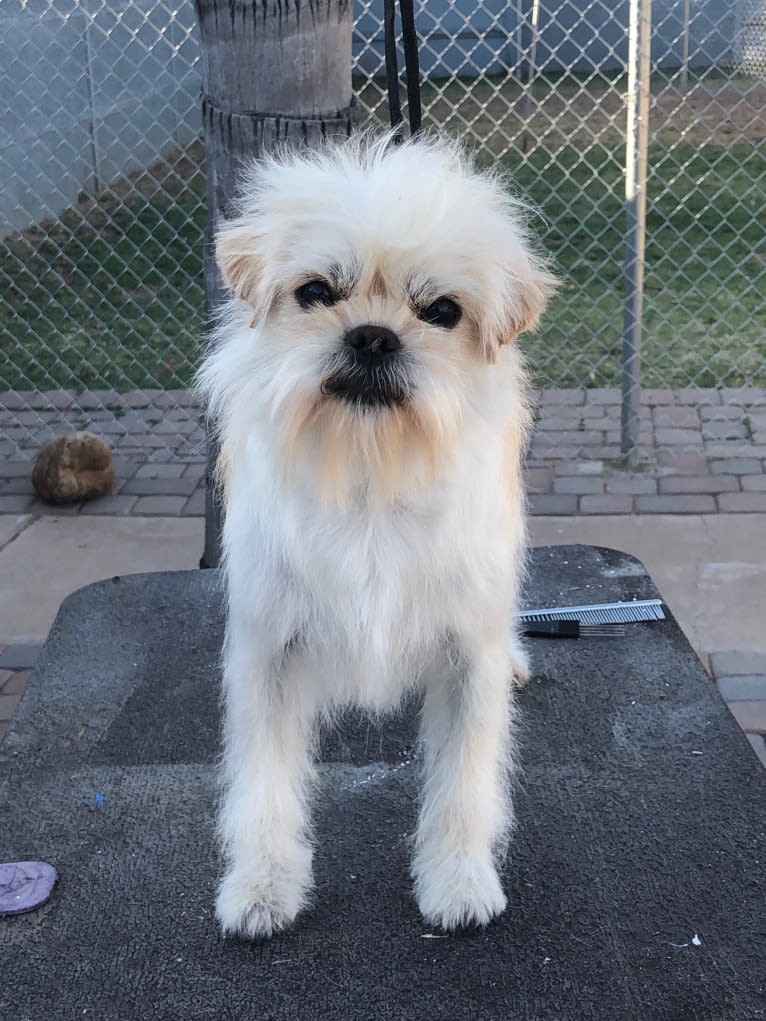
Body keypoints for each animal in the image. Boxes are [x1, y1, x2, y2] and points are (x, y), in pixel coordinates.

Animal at [198, 131, 555, 935]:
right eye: (316, 292)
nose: (372, 336)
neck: (369, 472)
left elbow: (464, 784)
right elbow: (262, 787)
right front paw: (262, 885)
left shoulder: (467, 659)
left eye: (442, 310)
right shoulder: (268, 656)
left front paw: (457, 880)